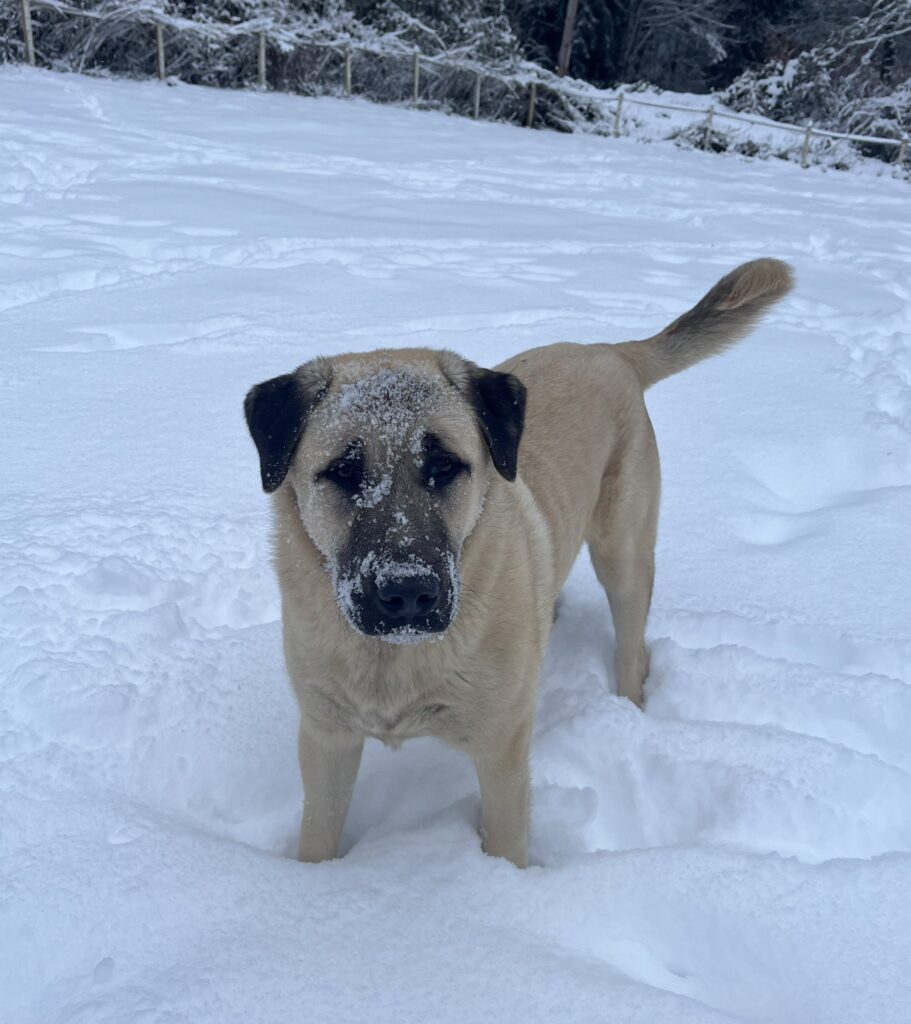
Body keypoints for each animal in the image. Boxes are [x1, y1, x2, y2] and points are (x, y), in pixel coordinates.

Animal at [244, 260, 790, 868]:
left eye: (445, 466)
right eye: (343, 470)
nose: (408, 593)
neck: (395, 660)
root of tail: (610, 351)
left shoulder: (501, 749)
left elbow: (506, 845)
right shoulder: (326, 738)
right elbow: (317, 838)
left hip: (624, 556)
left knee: (633, 651)